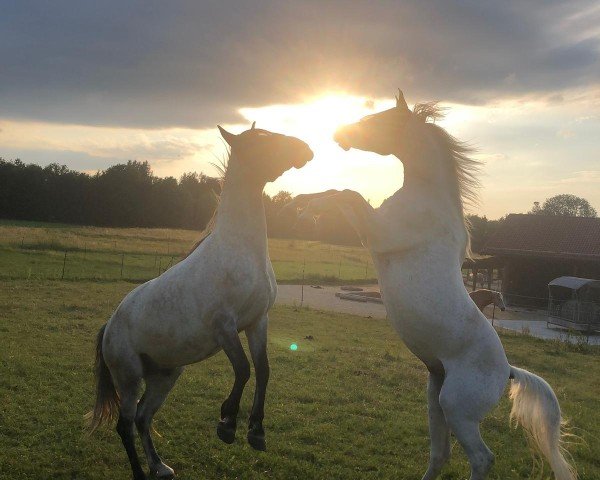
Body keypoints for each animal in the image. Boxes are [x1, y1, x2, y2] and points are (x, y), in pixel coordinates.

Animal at [89, 124, 316, 480]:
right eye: (261, 140)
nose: (305, 149)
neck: (241, 249)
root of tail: (108, 327)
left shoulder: (257, 322)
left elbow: (263, 370)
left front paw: (256, 432)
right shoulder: (224, 326)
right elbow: (243, 369)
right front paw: (227, 424)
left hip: (165, 377)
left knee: (142, 418)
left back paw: (160, 466)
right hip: (128, 379)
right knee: (125, 425)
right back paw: (141, 472)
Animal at [288, 91, 576, 480]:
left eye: (384, 119)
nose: (339, 133)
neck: (426, 197)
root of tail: (508, 372)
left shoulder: (378, 232)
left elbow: (348, 193)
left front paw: (306, 210)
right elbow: (342, 191)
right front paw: (301, 202)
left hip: (455, 409)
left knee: (481, 458)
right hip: (434, 398)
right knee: (440, 454)